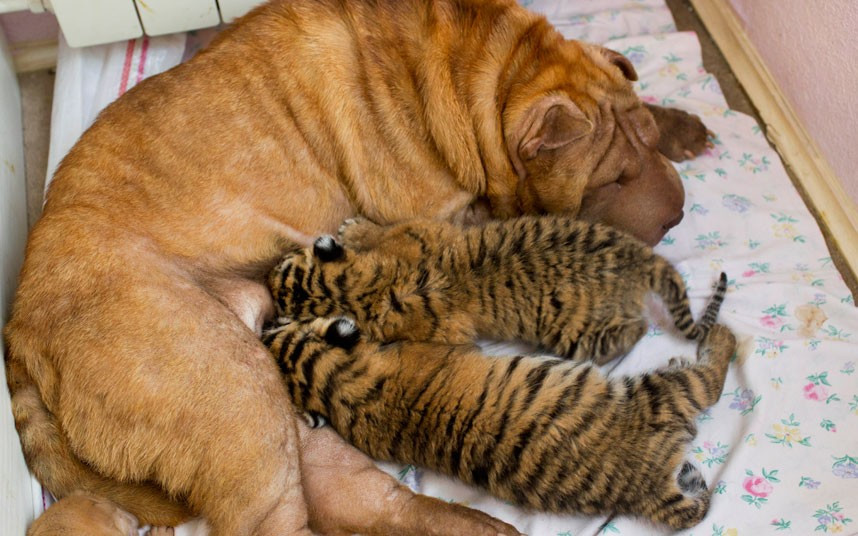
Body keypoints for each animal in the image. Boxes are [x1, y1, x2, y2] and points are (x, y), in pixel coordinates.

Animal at [262, 316, 738, 529]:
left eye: (274, 331)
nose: (265, 321)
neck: (338, 387)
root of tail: (646, 489)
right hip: (663, 393)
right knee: (710, 382)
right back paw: (722, 335)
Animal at [268, 215, 728, 364]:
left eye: (281, 273)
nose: (268, 279)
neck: (367, 290)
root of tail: (636, 260)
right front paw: (358, 230)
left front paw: (356, 228)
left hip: (578, 332)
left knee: (634, 332)